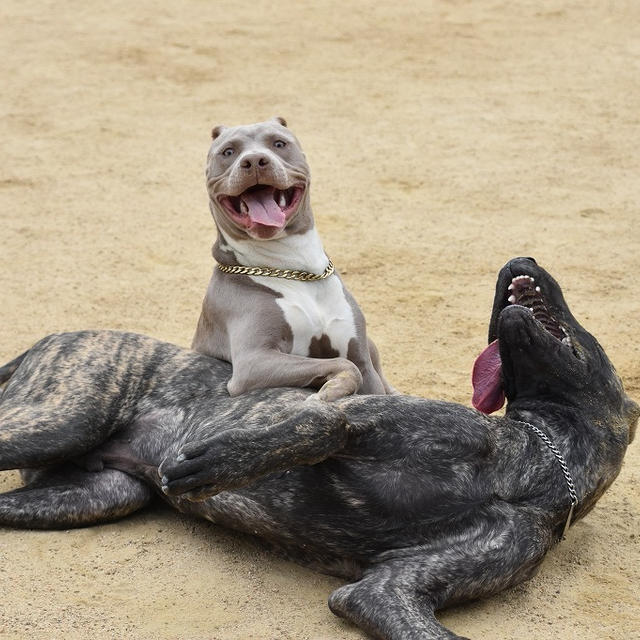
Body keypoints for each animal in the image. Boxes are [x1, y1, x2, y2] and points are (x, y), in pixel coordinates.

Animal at [0, 258, 636, 636]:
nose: (520, 260)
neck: (530, 465)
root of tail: (52, 337)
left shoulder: (384, 592)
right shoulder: (352, 417)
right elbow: (317, 426)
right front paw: (219, 460)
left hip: (102, 492)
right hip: (60, 419)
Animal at [190, 117, 392, 400]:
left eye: (279, 143)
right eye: (228, 152)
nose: (254, 160)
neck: (296, 268)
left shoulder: (361, 357)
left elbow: (358, 369)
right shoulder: (254, 361)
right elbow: (344, 364)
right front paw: (333, 389)